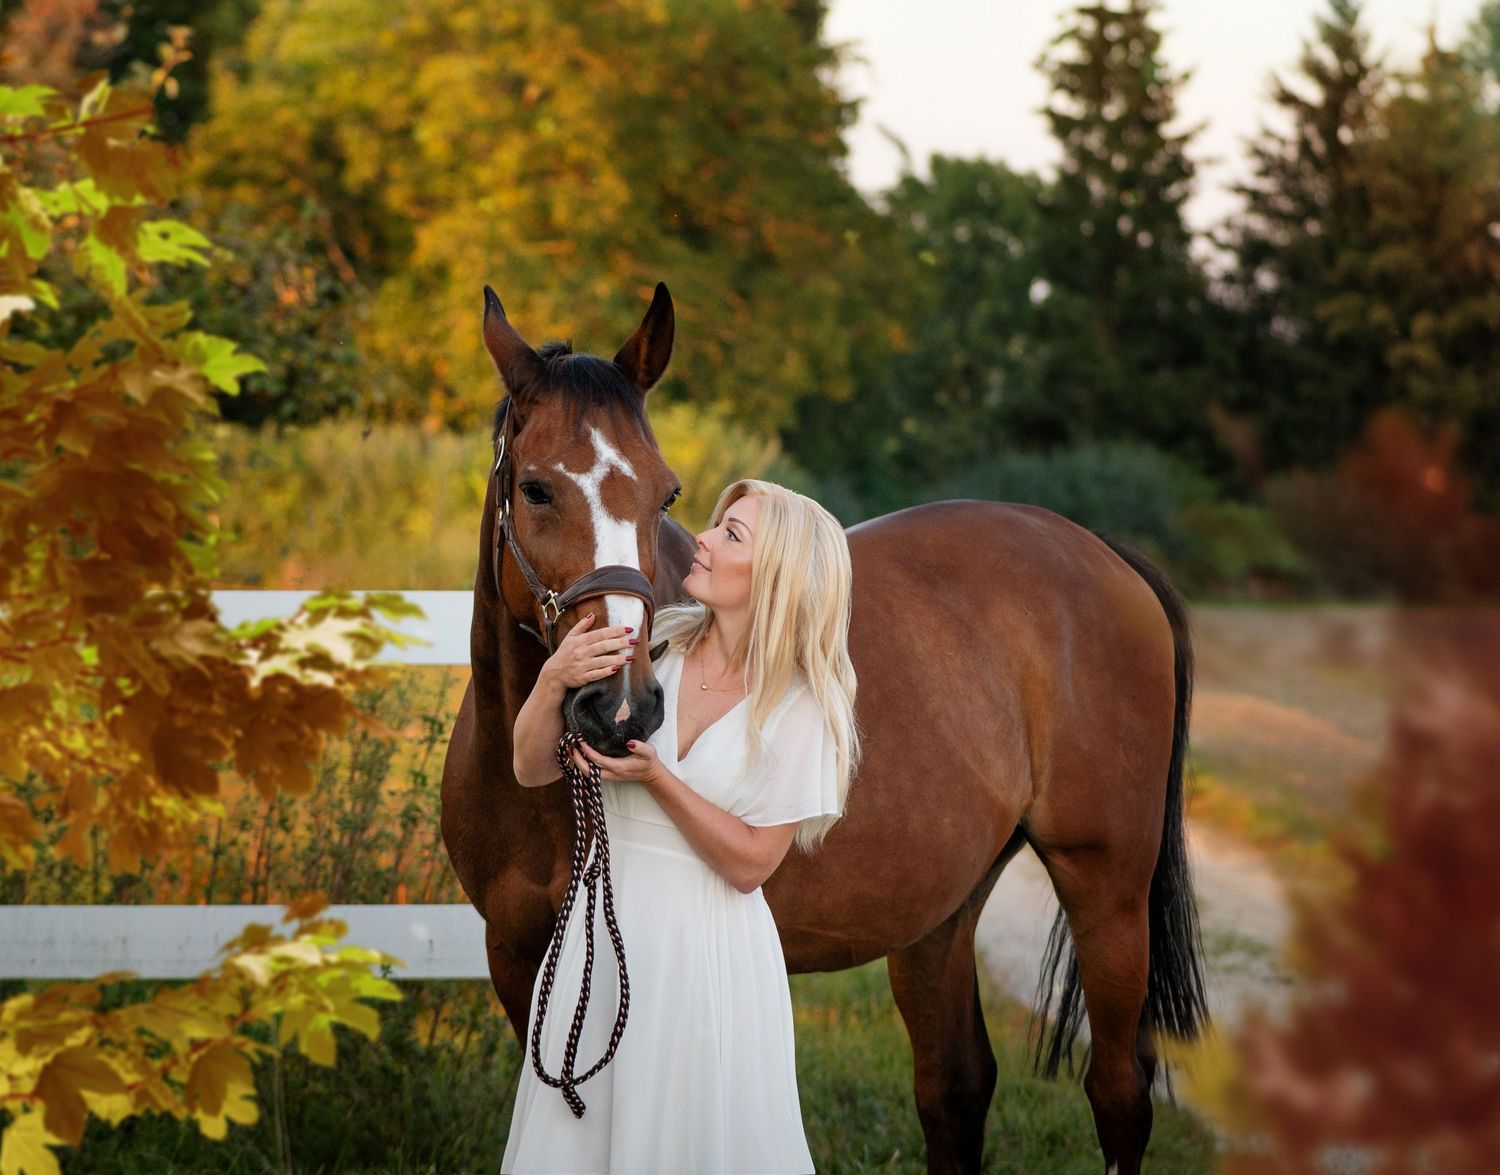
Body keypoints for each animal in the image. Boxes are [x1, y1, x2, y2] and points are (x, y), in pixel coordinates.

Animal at [440, 282, 1208, 1175]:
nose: (621, 707)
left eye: (666, 494)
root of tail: (1107, 555)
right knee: (955, 1086)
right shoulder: (517, 958)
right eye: (535, 489)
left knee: (1118, 1091)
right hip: (941, 911)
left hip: (1108, 888)